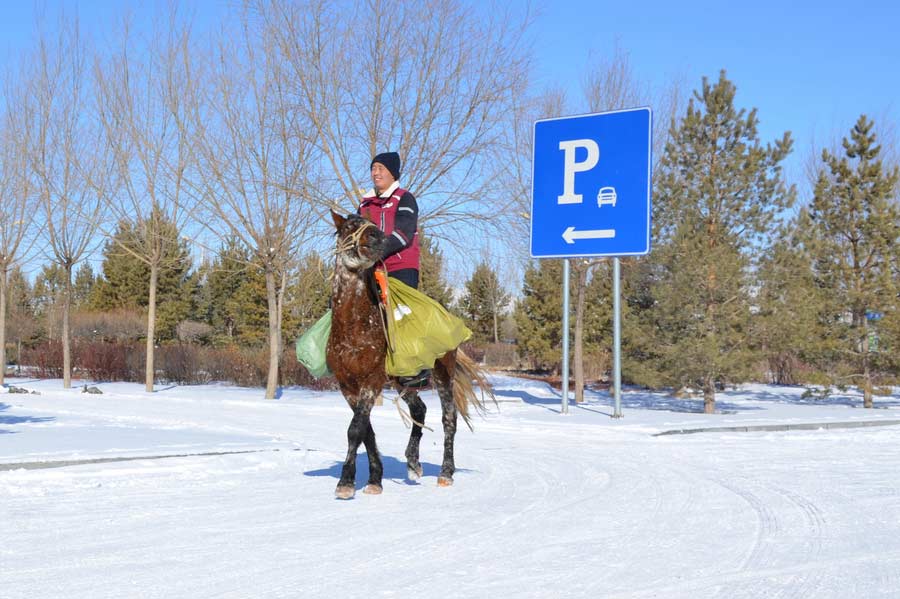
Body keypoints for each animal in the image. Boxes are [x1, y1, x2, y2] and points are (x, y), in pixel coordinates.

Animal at [326, 211, 492, 502]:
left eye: (372, 225)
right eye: (349, 227)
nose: (379, 238)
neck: (353, 325)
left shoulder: (371, 381)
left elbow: (356, 429)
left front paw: (345, 483)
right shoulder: (347, 385)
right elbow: (366, 430)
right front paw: (375, 479)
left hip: (443, 374)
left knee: (449, 419)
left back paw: (446, 473)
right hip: (402, 381)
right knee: (419, 410)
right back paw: (413, 463)